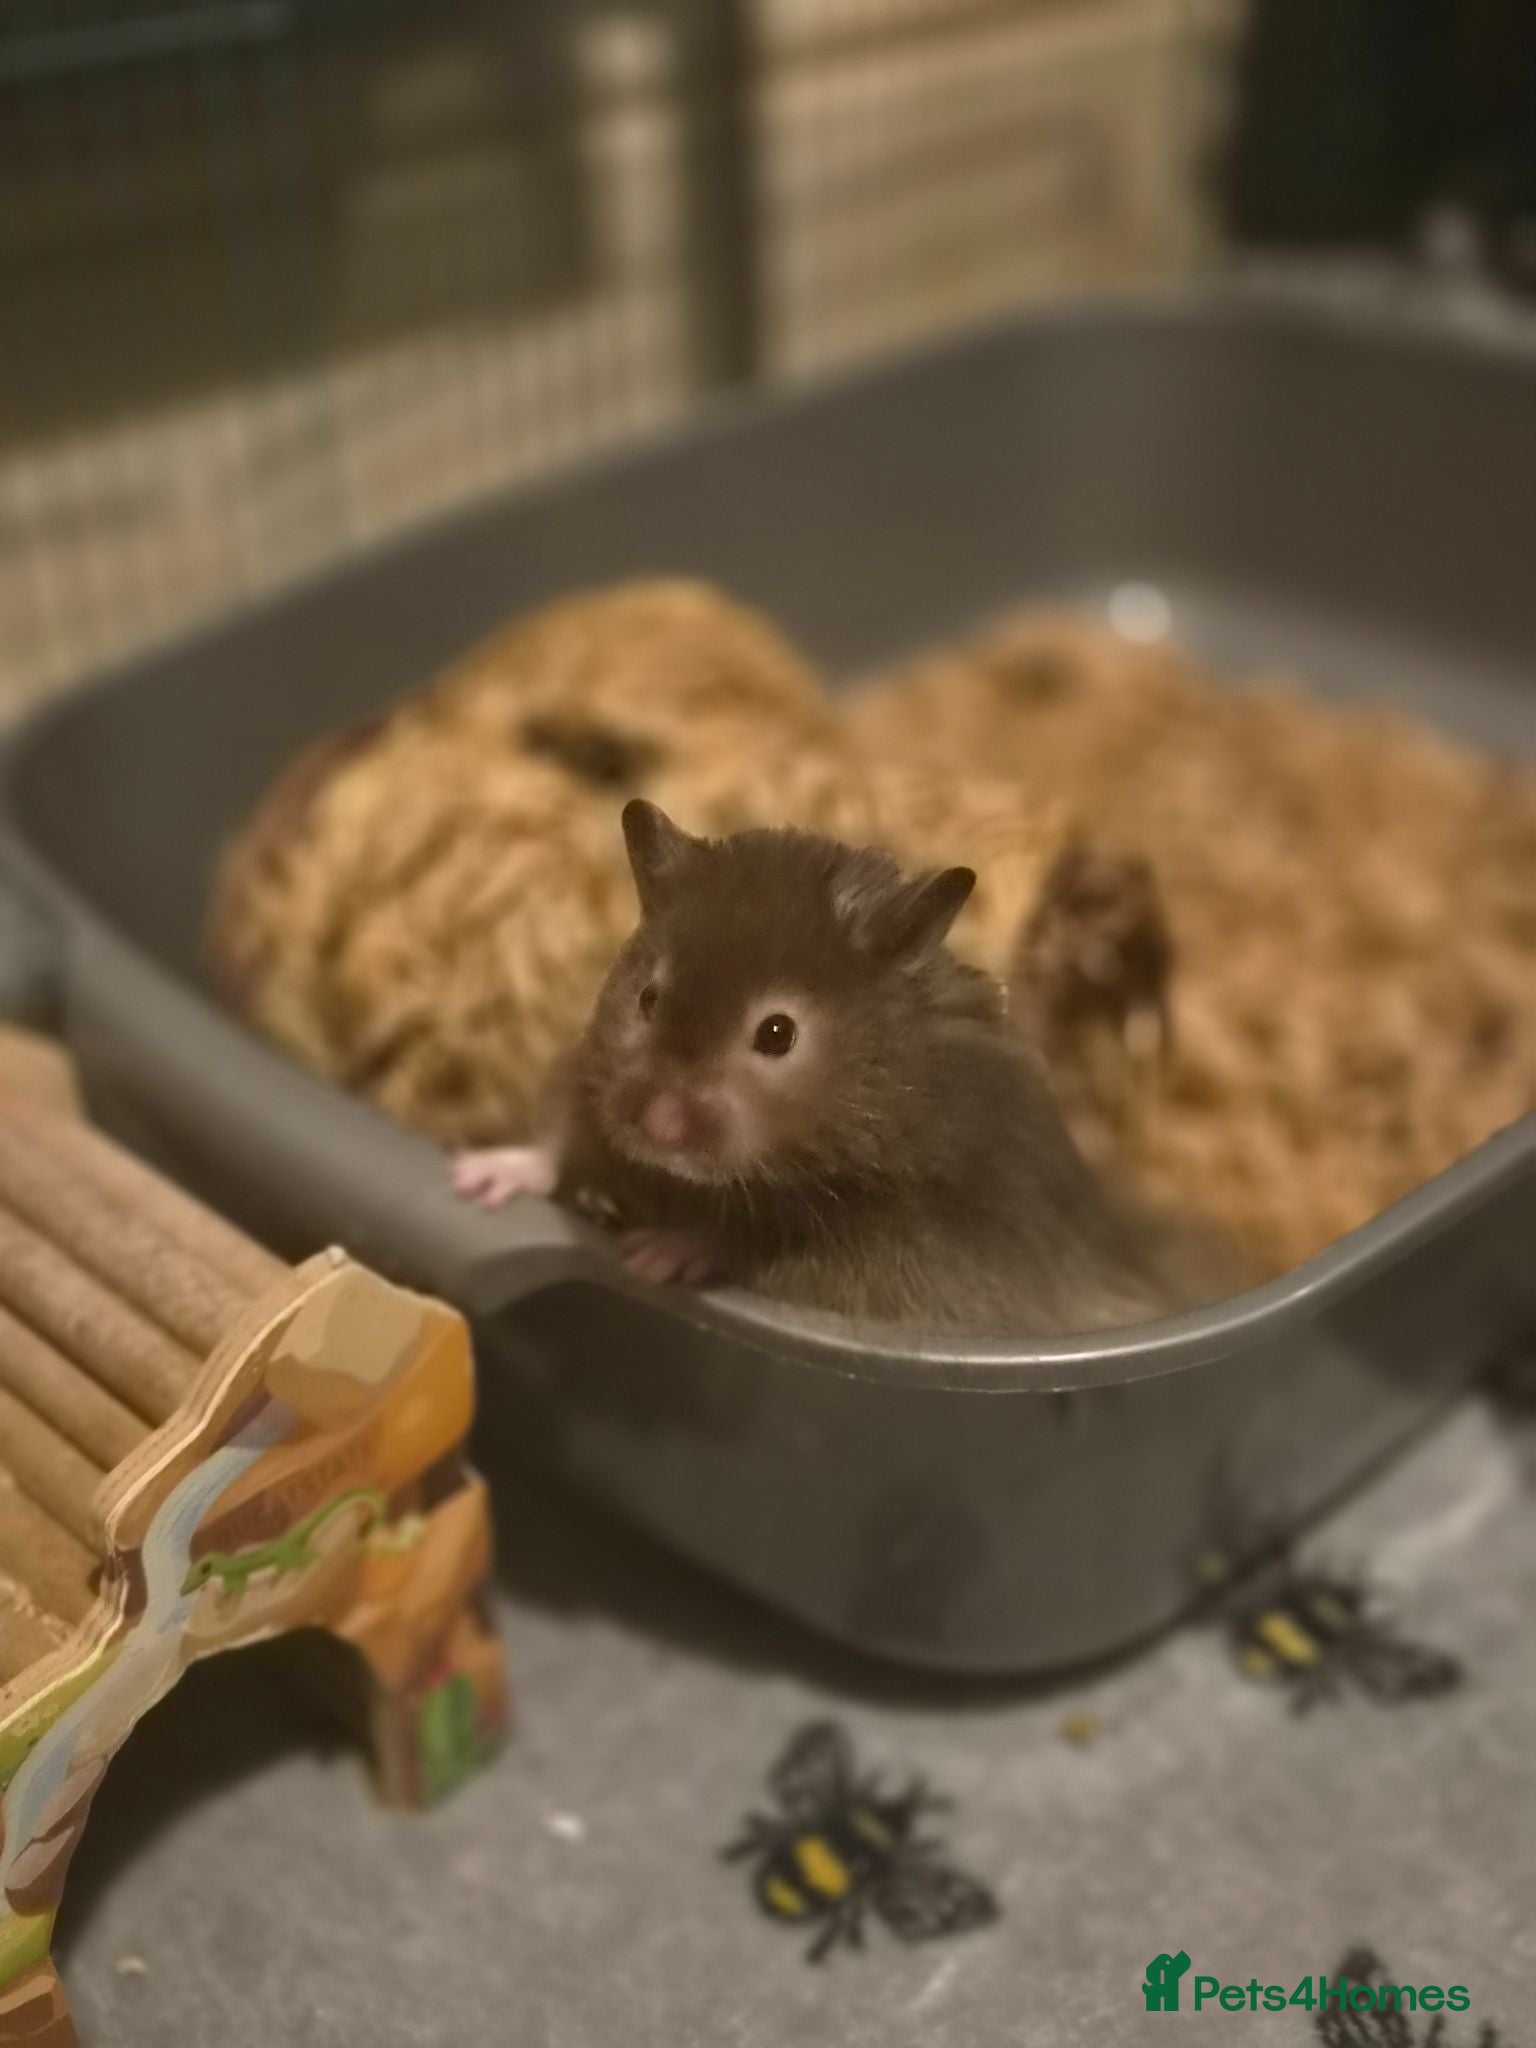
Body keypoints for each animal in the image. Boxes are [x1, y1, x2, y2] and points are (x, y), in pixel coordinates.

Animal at [452, 800, 1221, 1338]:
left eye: (777, 1033)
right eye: (647, 998)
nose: (659, 1127)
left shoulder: (886, 1252)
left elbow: (751, 1240)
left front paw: (651, 1258)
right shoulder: (590, 1073)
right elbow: (558, 1135)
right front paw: (475, 1180)